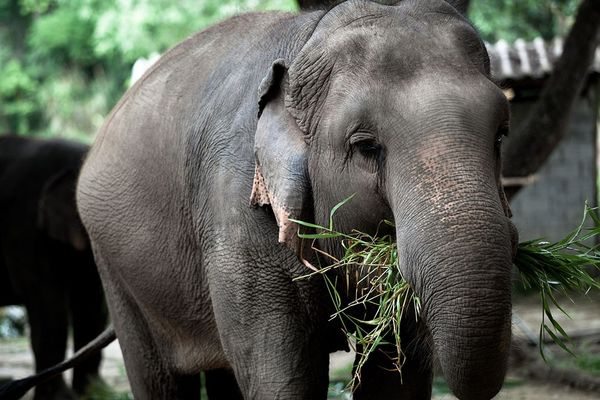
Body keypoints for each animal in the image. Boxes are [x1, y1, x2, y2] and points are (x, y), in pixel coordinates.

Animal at [74, 1, 516, 398]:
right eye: (367, 146)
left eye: (500, 136)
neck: (309, 39)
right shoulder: (236, 213)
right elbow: (282, 379)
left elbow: (394, 376)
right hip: (116, 269)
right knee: (156, 376)